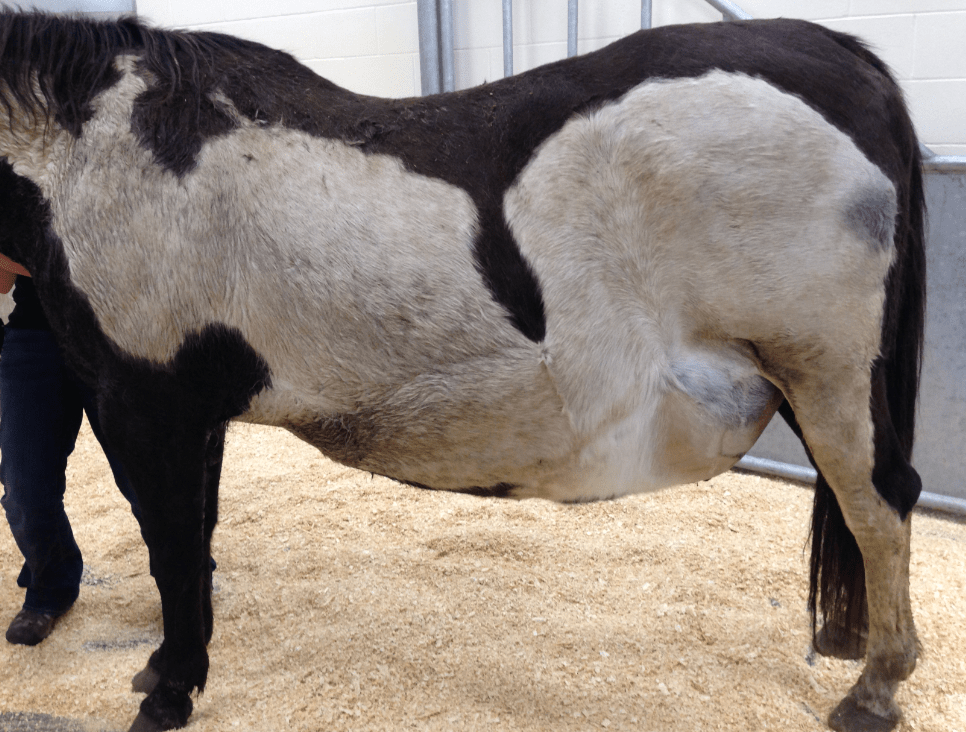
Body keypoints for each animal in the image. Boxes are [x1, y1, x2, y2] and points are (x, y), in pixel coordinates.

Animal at [0, 10, 925, 732]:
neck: (95, 152)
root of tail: (842, 58)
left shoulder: (148, 403)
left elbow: (173, 551)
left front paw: (171, 691)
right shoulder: (194, 416)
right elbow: (195, 540)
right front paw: (169, 670)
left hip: (824, 376)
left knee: (881, 505)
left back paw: (873, 692)